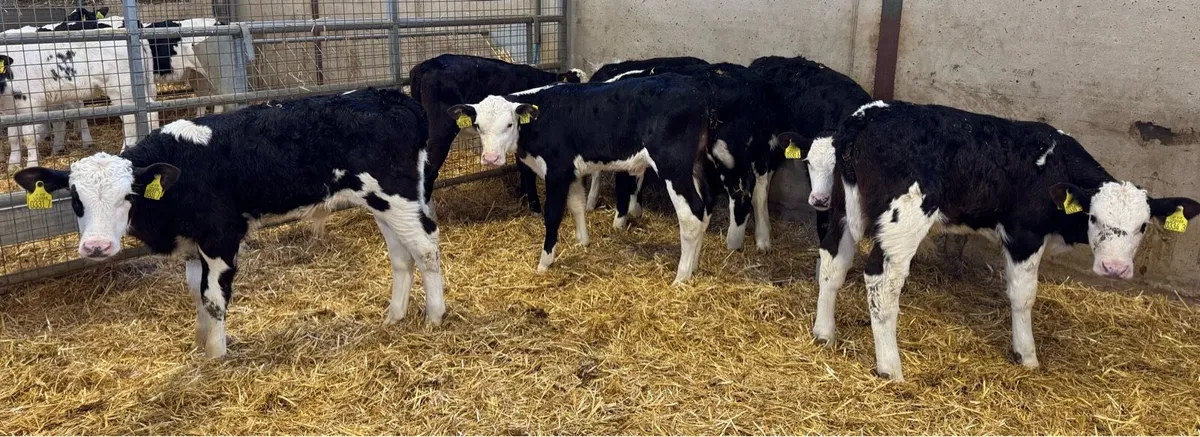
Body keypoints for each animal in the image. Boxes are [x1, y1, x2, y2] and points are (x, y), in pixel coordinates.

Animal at [12, 88, 445, 359]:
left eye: (128, 196)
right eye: (76, 199)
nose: (97, 247)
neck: (182, 171)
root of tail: (391, 97)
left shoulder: (221, 236)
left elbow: (213, 298)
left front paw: (217, 357)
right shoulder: (193, 245)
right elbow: (195, 294)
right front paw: (201, 344)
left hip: (398, 196)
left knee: (425, 248)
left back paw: (435, 316)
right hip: (380, 203)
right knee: (400, 256)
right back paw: (394, 316)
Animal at [408, 54, 585, 219]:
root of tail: (425, 65)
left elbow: (521, 166)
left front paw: (522, 196)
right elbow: (527, 169)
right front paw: (534, 206)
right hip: (441, 131)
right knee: (429, 171)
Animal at [450, 74, 716, 283]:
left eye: (509, 124)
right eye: (478, 126)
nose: (491, 158)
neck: (541, 117)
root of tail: (694, 90)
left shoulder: (557, 171)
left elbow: (552, 214)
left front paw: (544, 262)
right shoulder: (572, 173)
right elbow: (577, 205)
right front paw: (583, 242)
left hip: (673, 166)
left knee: (691, 215)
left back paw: (681, 277)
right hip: (694, 166)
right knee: (706, 208)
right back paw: (694, 267)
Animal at [807, 100, 1200, 381]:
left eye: (1143, 226)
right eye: (1094, 218)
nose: (1114, 268)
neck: (1053, 169)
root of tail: (865, 118)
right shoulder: (1024, 233)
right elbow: (1023, 296)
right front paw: (1026, 355)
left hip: (840, 208)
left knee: (832, 262)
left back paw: (824, 333)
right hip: (902, 222)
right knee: (881, 283)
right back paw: (890, 367)